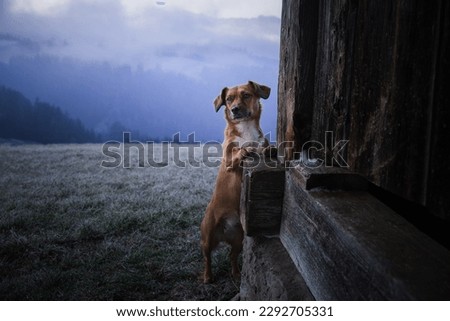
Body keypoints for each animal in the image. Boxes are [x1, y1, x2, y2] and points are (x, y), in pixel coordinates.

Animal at [200, 80, 270, 282]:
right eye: (229, 99)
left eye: (246, 95)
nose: (235, 109)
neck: (246, 129)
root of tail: (224, 232)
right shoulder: (229, 161)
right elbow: (241, 150)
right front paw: (248, 148)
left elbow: (264, 146)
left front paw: (266, 149)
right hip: (207, 237)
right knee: (207, 257)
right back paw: (208, 277)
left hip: (239, 240)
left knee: (232, 256)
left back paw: (237, 273)